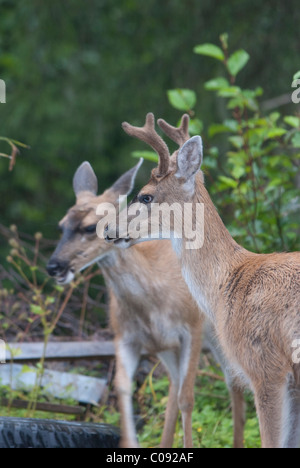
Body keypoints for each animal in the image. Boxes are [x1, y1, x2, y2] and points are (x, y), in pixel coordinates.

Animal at [47, 155, 246, 448]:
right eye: (61, 225)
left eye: (89, 227)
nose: (54, 266)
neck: (151, 303)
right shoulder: (126, 337)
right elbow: (123, 389)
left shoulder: (193, 328)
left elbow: (188, 398)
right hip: (166, 348)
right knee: (175, 384)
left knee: (232, 381)